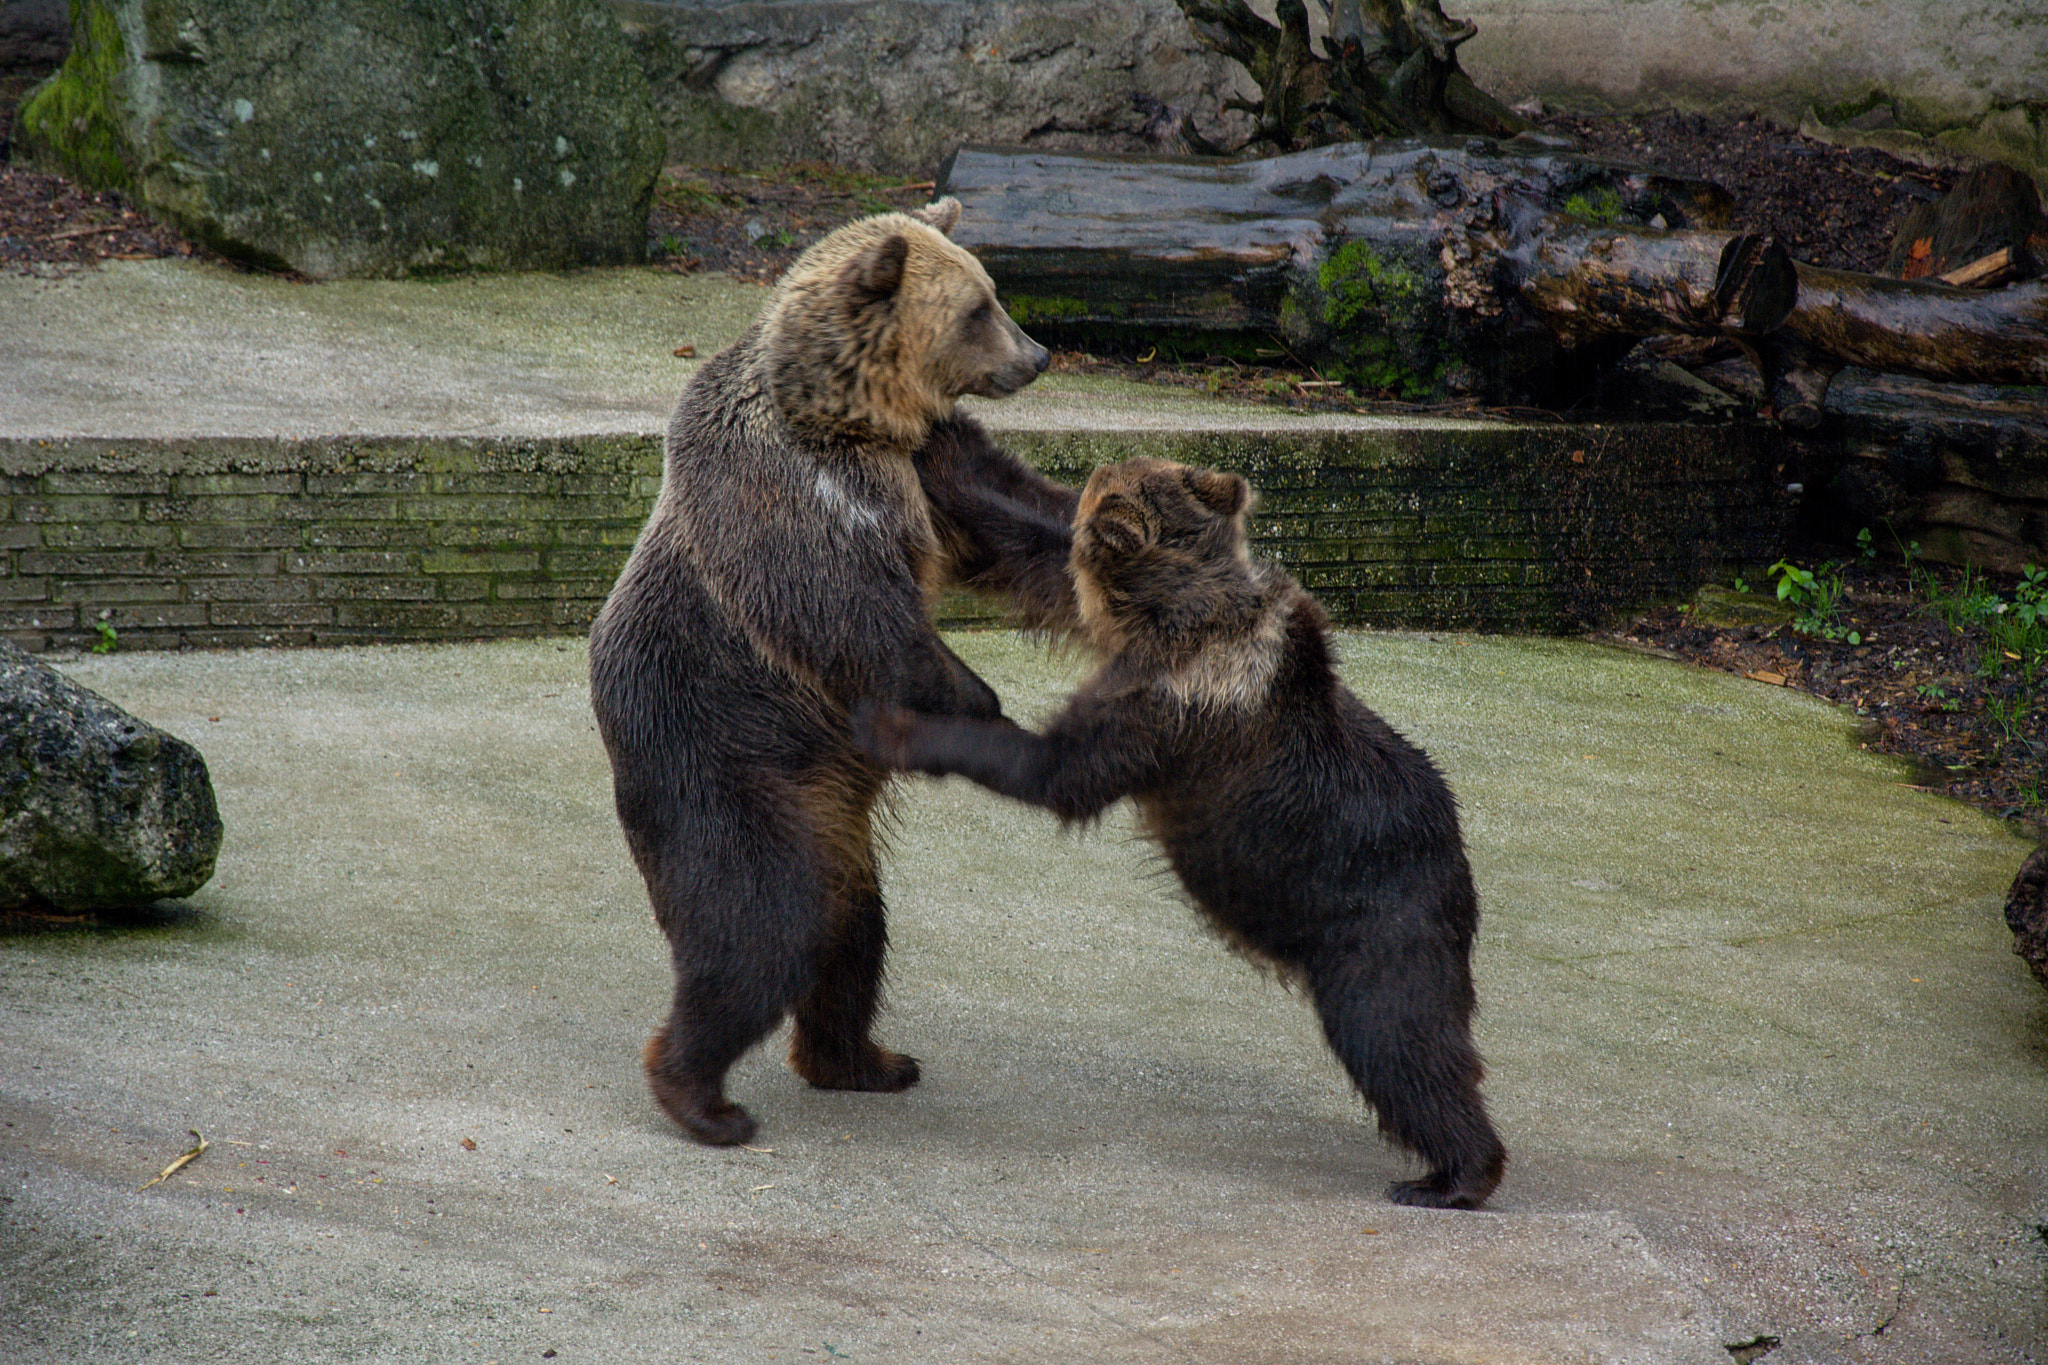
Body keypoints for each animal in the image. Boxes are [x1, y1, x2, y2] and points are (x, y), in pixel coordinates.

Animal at [589, 197, 1081, 1146]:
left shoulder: (927, 469)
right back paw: (704, 1099)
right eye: (980, 308)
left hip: (828, 826)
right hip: (730, 774)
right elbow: (862, 623)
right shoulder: (791, 506)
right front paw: (981, 703)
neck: (852, 419)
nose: (1038, 356)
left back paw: (867, 1060)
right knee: (760, 935)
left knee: (851, 936)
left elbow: (1014, 518)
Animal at [847, 464, 1507, 1211]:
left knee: (1398, 1037)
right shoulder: (1121, 643)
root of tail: (1455, 846)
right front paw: (943, 466)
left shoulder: (1170, 708)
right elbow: (1026, 548)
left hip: (1378, 919)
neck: (1177, 613)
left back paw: (1450, 1176)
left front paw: (889, 723)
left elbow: (1051, 767)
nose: (1093, 474)